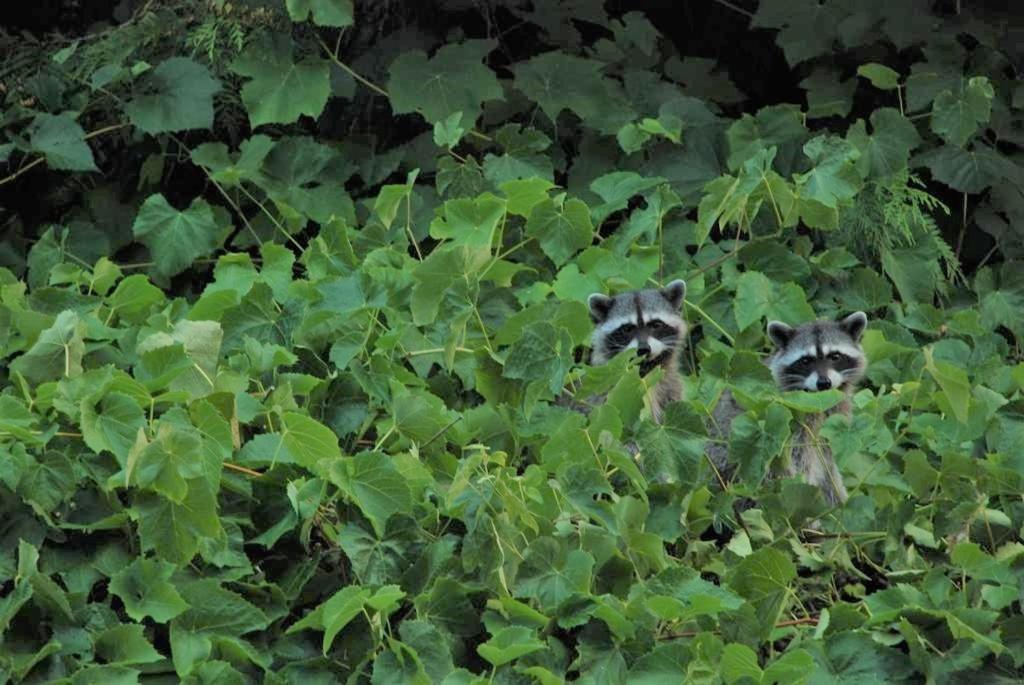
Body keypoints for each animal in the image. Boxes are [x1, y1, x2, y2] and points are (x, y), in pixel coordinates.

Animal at [585, 278, 688, 421]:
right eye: (627, 329)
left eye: (656, 325)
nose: (644, 349)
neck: (643, 371)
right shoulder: (610, 395)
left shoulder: (670, 386)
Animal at [708, 313, 868, 505]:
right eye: (805, 360)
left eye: (835, 356)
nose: (824, 383)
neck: (818, 399)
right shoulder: (791, 422)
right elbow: (796, 470)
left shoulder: (833, 423)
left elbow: (828, 468)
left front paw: (839, 500)